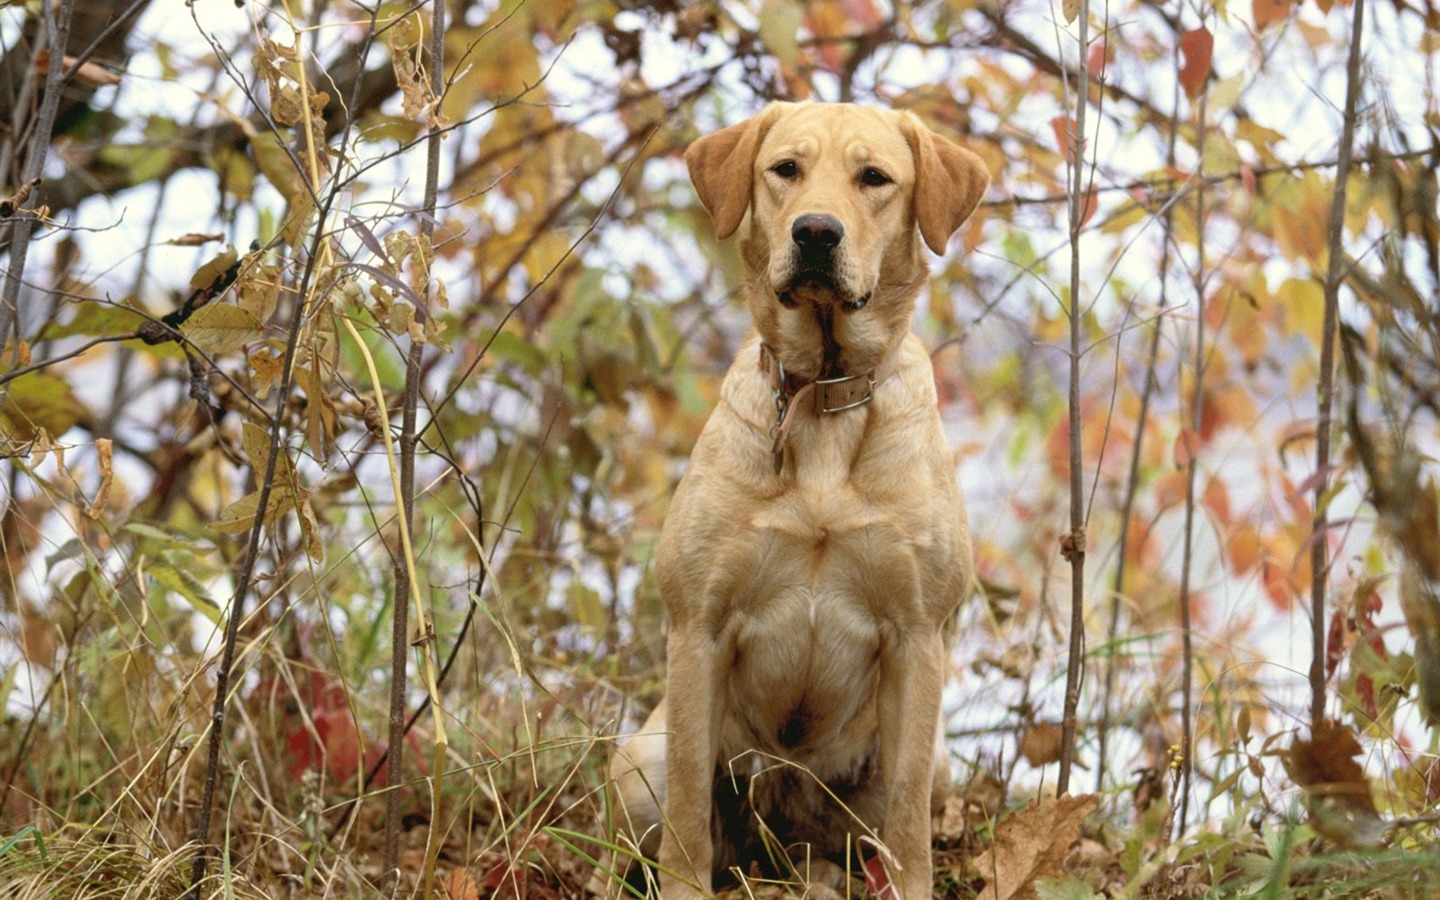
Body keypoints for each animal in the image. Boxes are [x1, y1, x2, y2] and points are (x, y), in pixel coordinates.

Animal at [604, 101, 990, 892]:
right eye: (785, 169)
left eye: (874, 178)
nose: (815, 231)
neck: (822, 397)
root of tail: (774, 847)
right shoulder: (699, 627)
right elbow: (688, 804)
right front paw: (684, 890)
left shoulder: (917, 635)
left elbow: (908, 820)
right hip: (638, 760)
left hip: (922, 766)